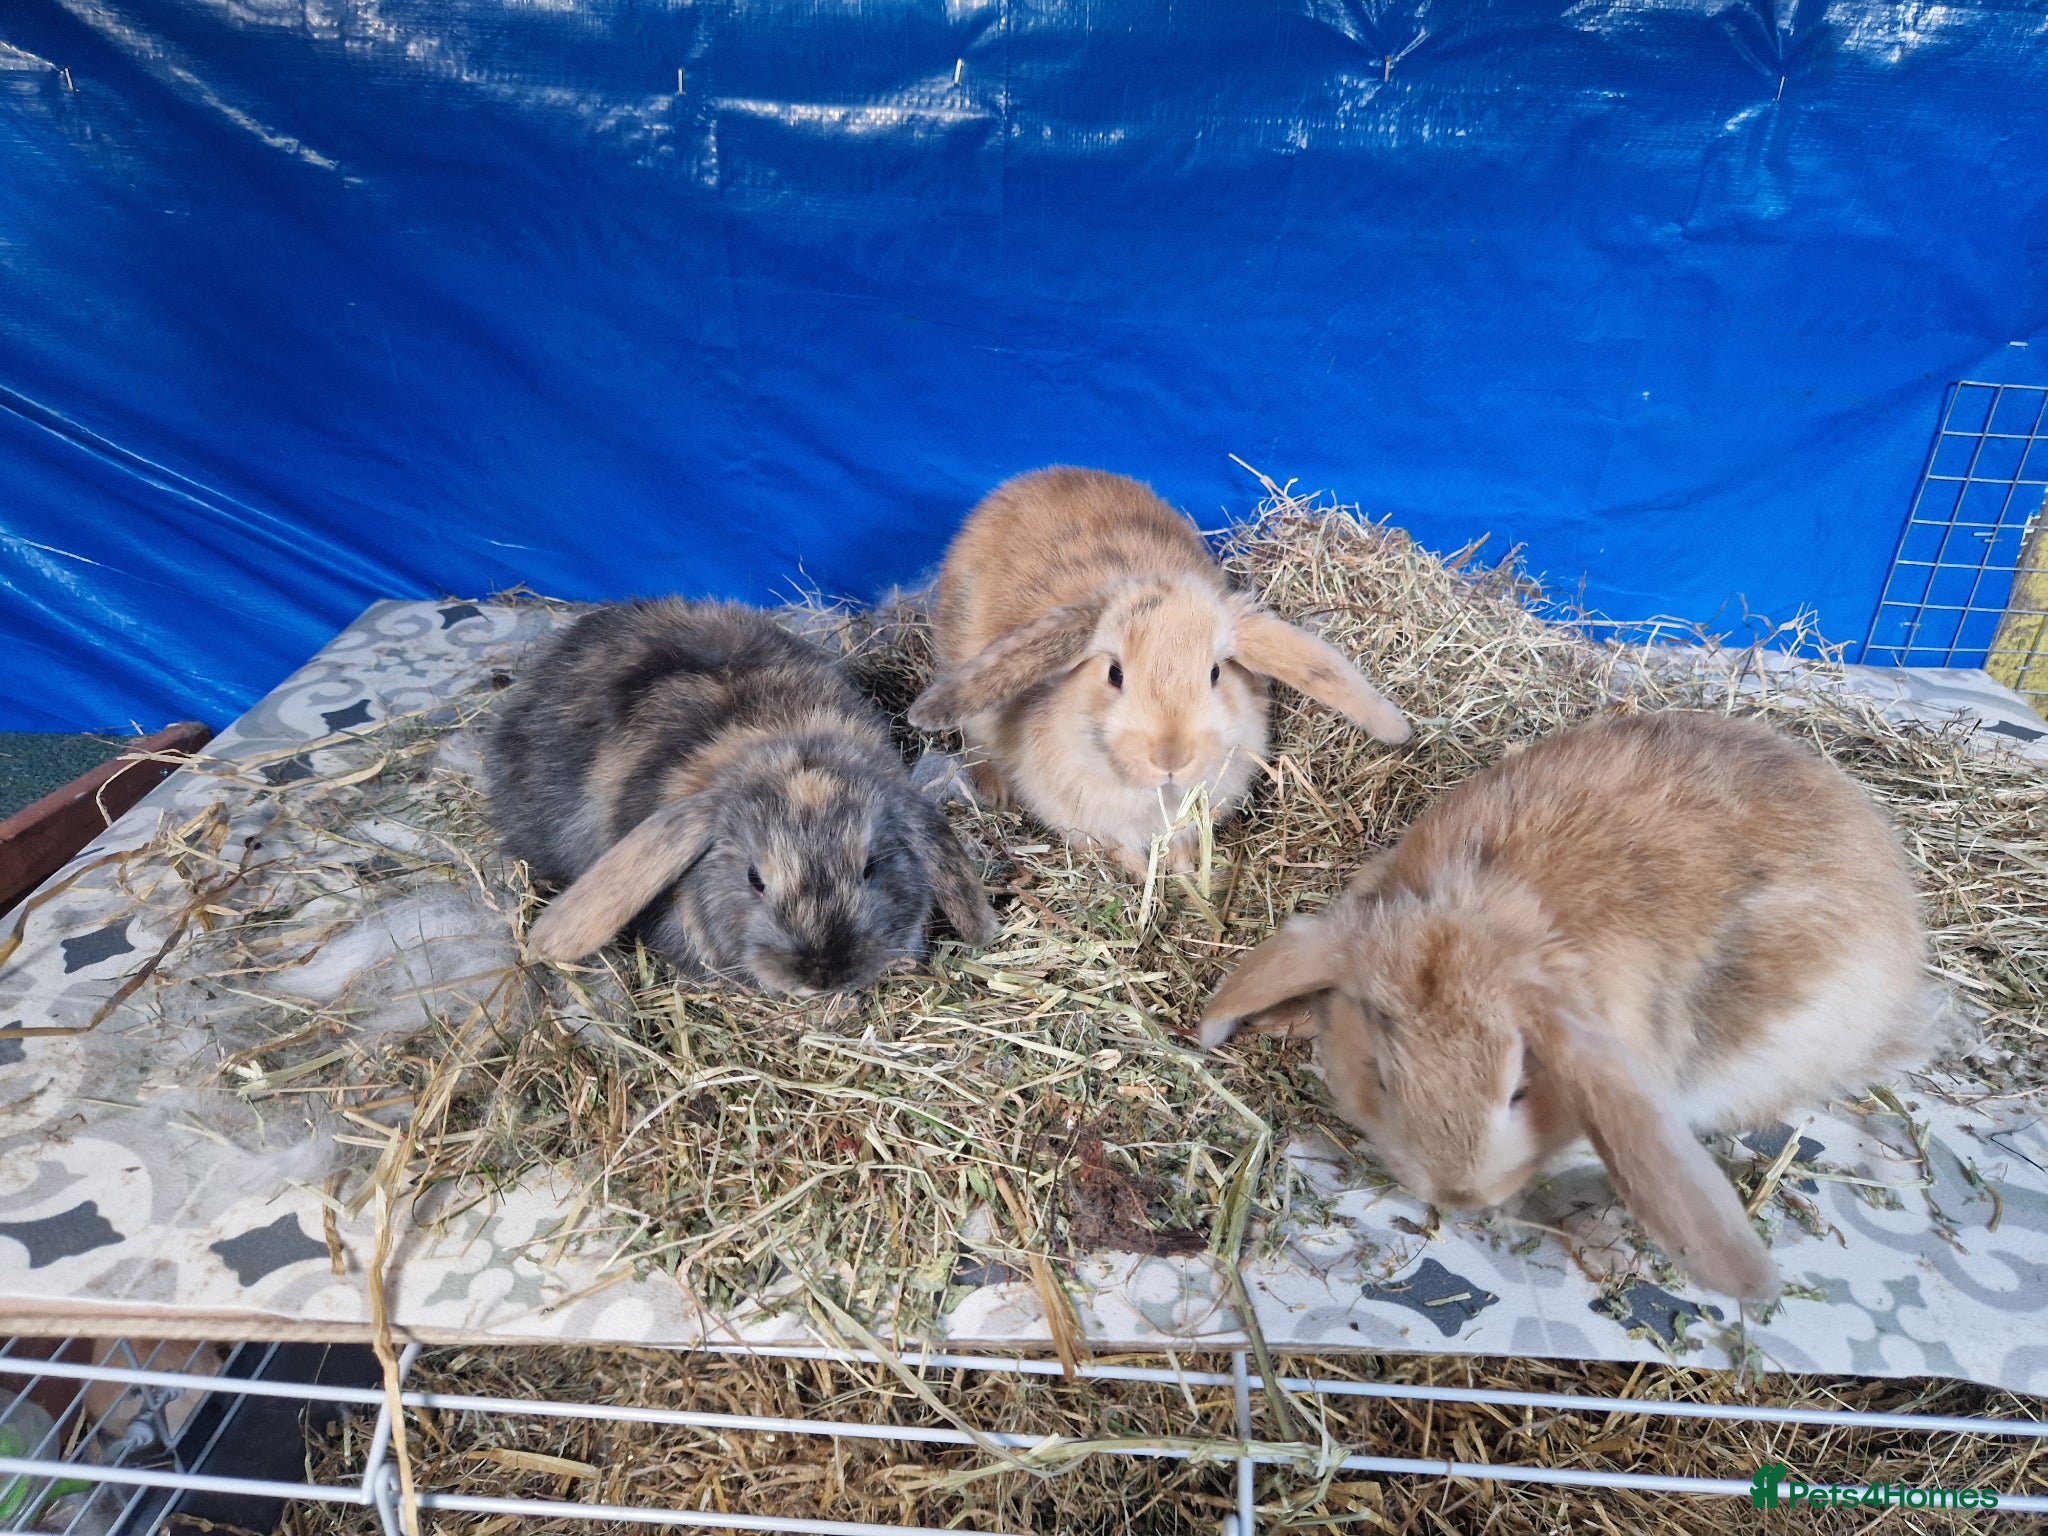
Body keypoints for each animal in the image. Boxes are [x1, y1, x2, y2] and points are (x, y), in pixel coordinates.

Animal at [906, 467, 1410, 876]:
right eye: (1114, 673)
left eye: (1215, 673)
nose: (1171, 758)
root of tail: (1038, 476)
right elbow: (1114, 850)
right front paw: (1142, 877)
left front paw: (1183, 869)